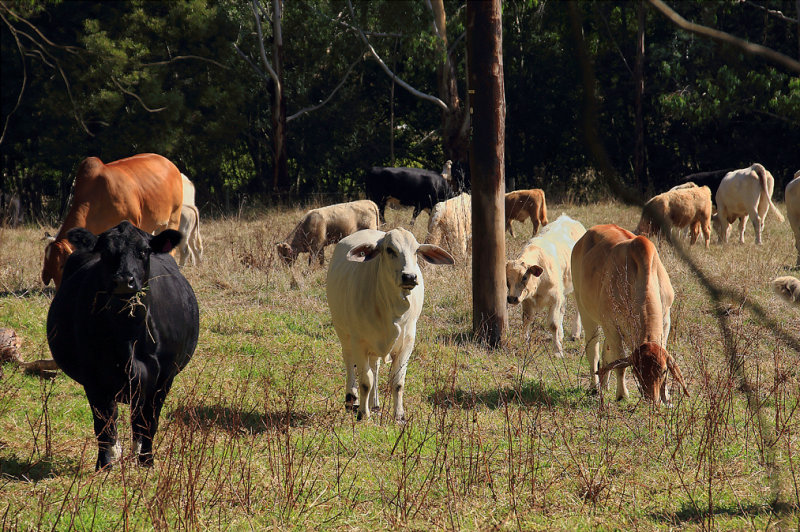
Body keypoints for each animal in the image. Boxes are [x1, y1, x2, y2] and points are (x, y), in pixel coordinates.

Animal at [47, 220, 199, 470]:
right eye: (106, 252)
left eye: (144, 251)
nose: (123, 281)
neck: (129, 336)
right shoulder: (93, 377)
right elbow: (104, 423)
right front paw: (105, 464)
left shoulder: (164, 377)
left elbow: (149, 421)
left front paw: (146, 461)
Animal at [324, 228, 450, 420]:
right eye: (390, 250)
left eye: (416, 251)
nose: (409, 276)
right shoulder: (358, 342)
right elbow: (365, 381)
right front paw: (363, 414)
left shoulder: (407, 343)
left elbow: (397, 381)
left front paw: (399, 416)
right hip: (342, 331)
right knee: (349, 362)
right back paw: (351, 398)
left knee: (374, 366)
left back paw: (374, 403)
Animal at [506, 214, 588, 356]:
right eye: (507, 279)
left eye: (524, 277)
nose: (512, 298)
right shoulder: (527, 300)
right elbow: (526, 320)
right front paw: (524, 342)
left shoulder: (555, 299)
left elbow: (553, 324)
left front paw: (558, 350)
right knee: (563, 308)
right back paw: (561, 334)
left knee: (578, 307)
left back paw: (575, 333)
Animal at [568, 224, 688, 404]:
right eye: (637, 371)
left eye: (663, 371)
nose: (652, 400)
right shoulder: (611, 325)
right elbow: (619, 363)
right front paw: (622, 394)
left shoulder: (666, 319)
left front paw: (666, 396)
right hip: (585, 312)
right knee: (593, 350)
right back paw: (595, 387)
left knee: (605, 350)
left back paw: (604, 385)